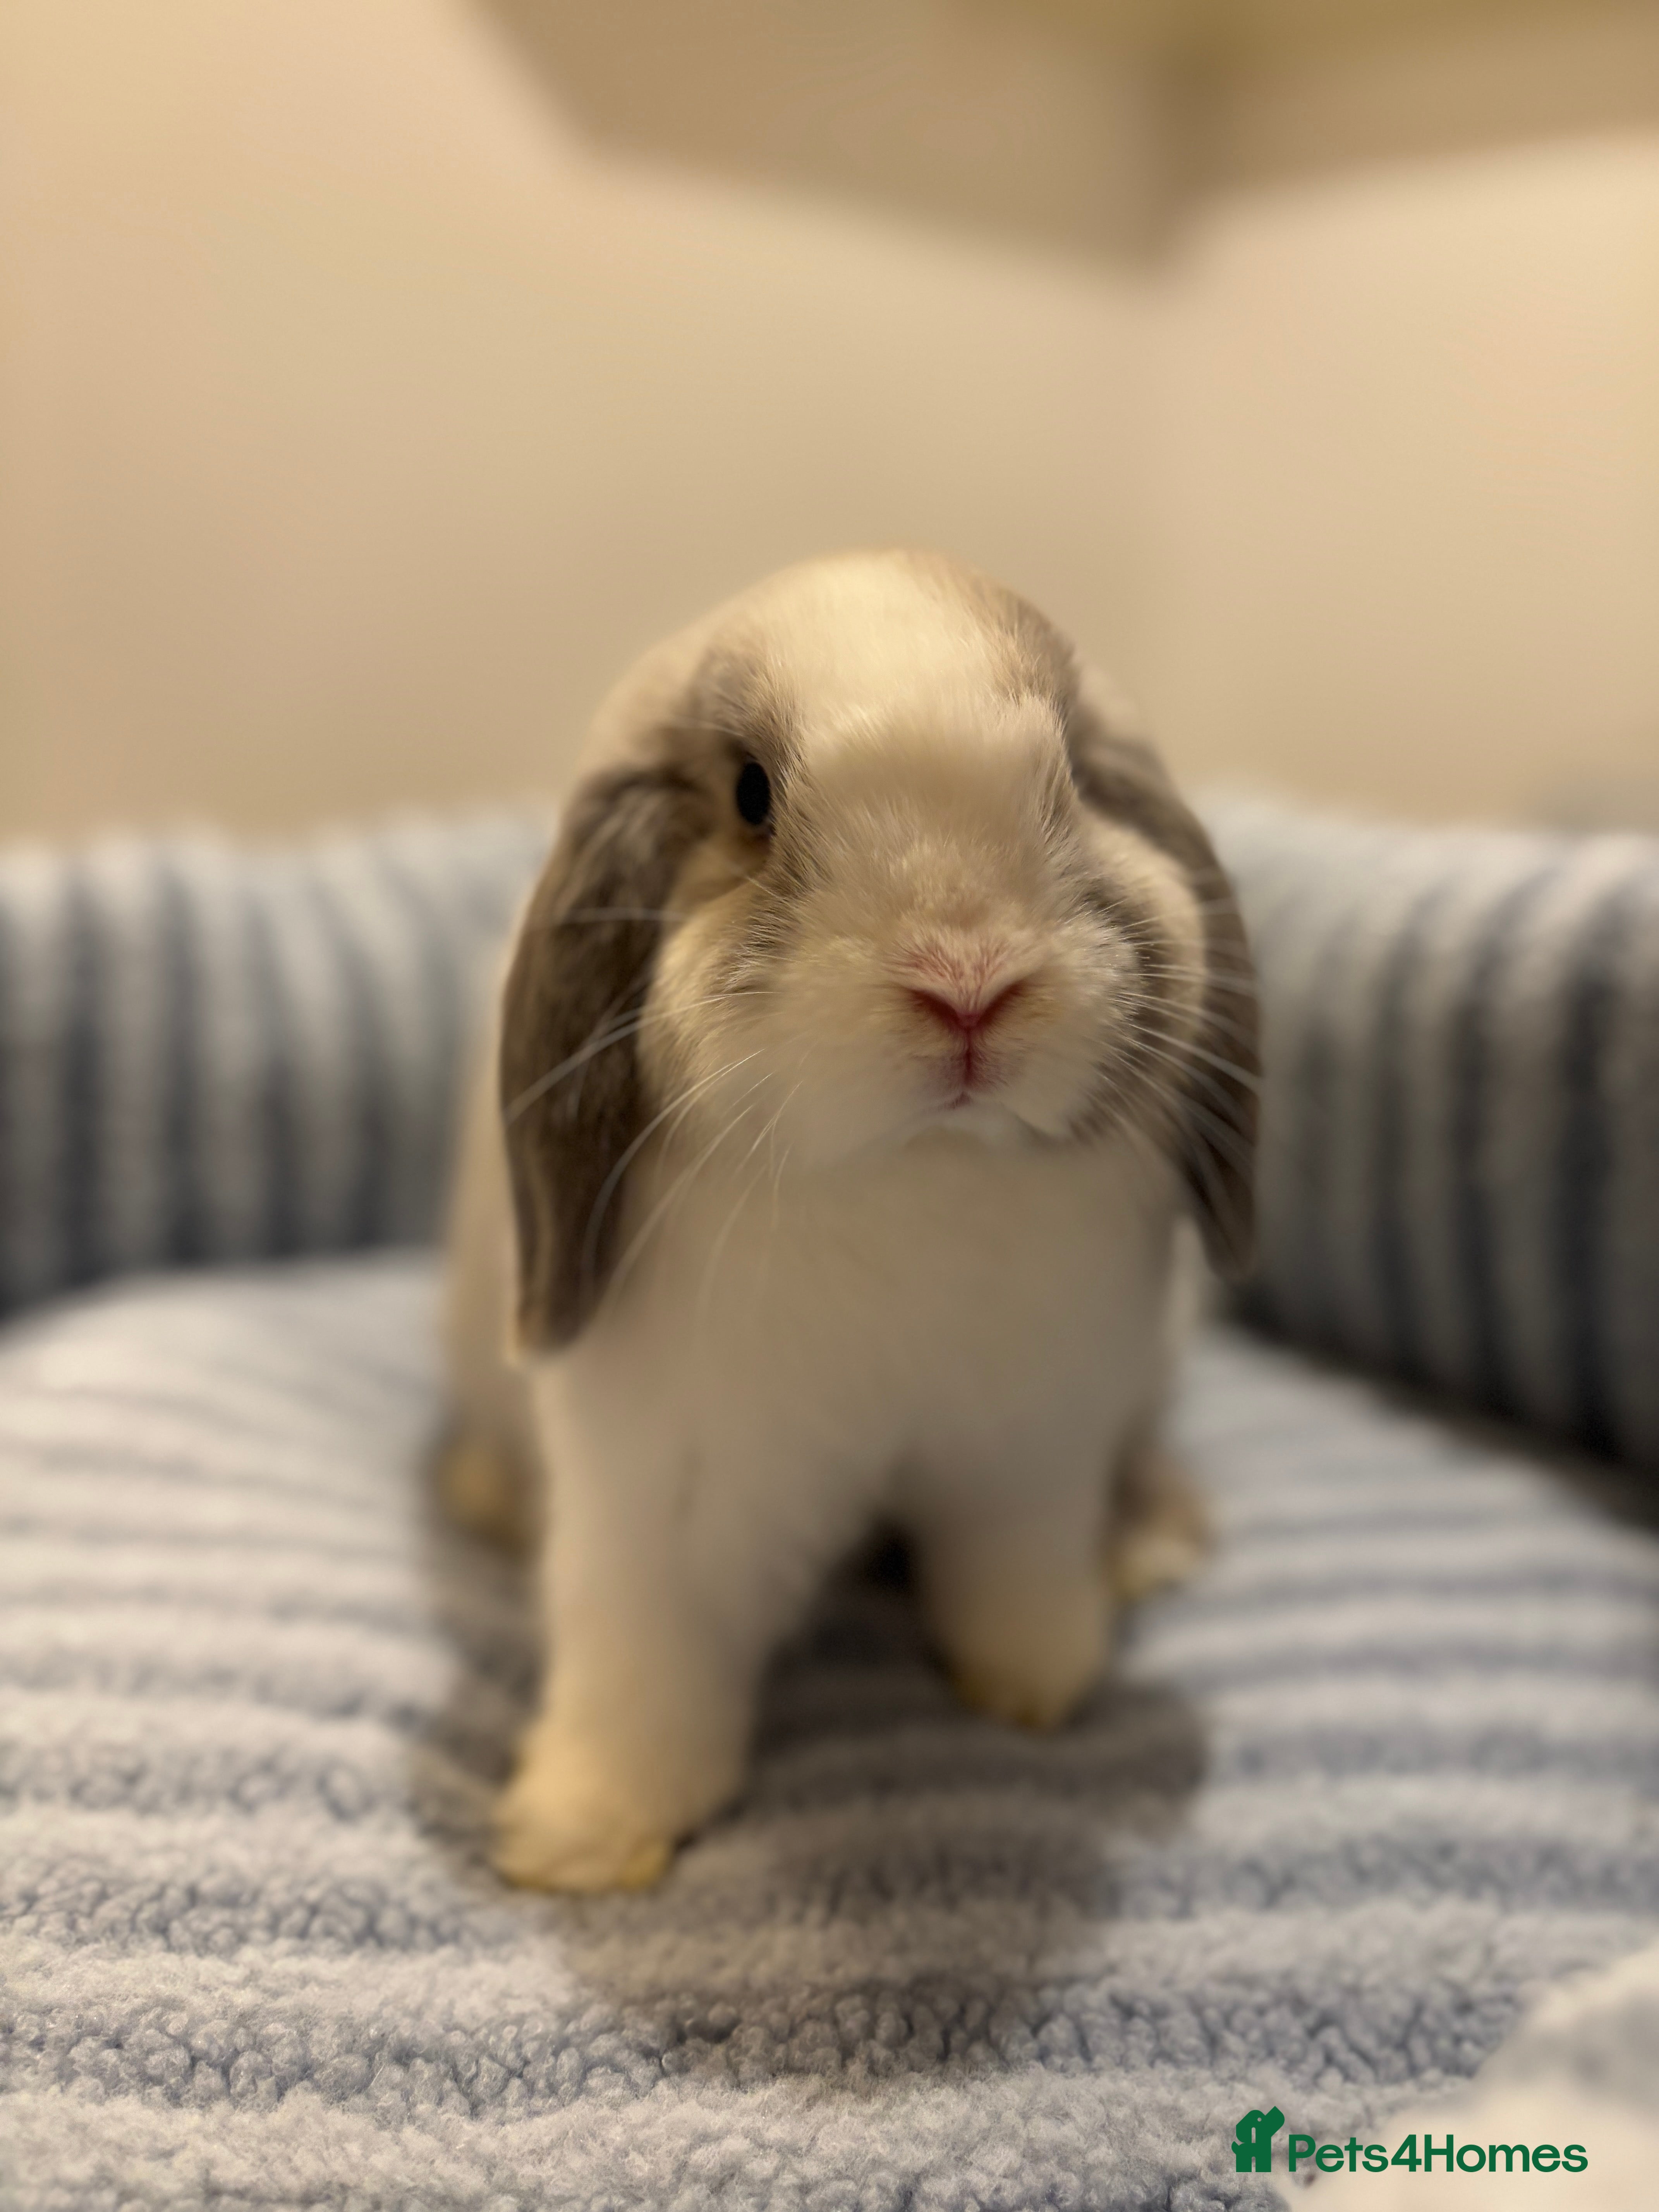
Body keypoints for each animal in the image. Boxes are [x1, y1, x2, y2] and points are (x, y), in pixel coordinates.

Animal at [442, 549, 1257, 1893]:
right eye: (752, 795)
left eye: (1075, 774)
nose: (968, 985)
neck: (910, 1172)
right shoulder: (663, 1499)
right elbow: (641, 1660)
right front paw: (582, 1841)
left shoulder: (1028, 1452)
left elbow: (1012, 1575)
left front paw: (1038, 1684)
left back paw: (1147, 1542)